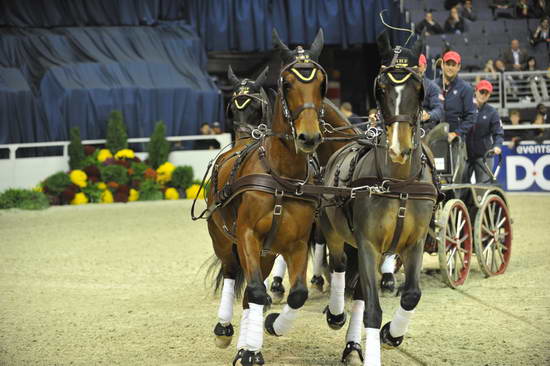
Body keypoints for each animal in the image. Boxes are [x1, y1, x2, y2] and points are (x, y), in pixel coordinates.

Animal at [204, 29, 328, 366]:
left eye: (321, 84)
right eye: (287, 84)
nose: (309, 137)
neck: (281, 177)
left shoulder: (295, 244)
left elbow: (295, 294)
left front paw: (270, 329)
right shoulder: (247, 235)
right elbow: (257, 291)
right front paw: (249, 348)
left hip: (267, 252)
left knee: (249, 292)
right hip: (223, 240)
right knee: (232, 273)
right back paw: (225, 330)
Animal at [322, 32, 438, 366]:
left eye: (418, 88)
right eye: (381, 88)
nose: (398, 148)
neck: (398, 183)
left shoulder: (415, 243)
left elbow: (411, 295)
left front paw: (392, 335)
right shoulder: (368, 244)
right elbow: (372, 310)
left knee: (360, 289)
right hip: (335, 232)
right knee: (337, 265)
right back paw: (335, 314)